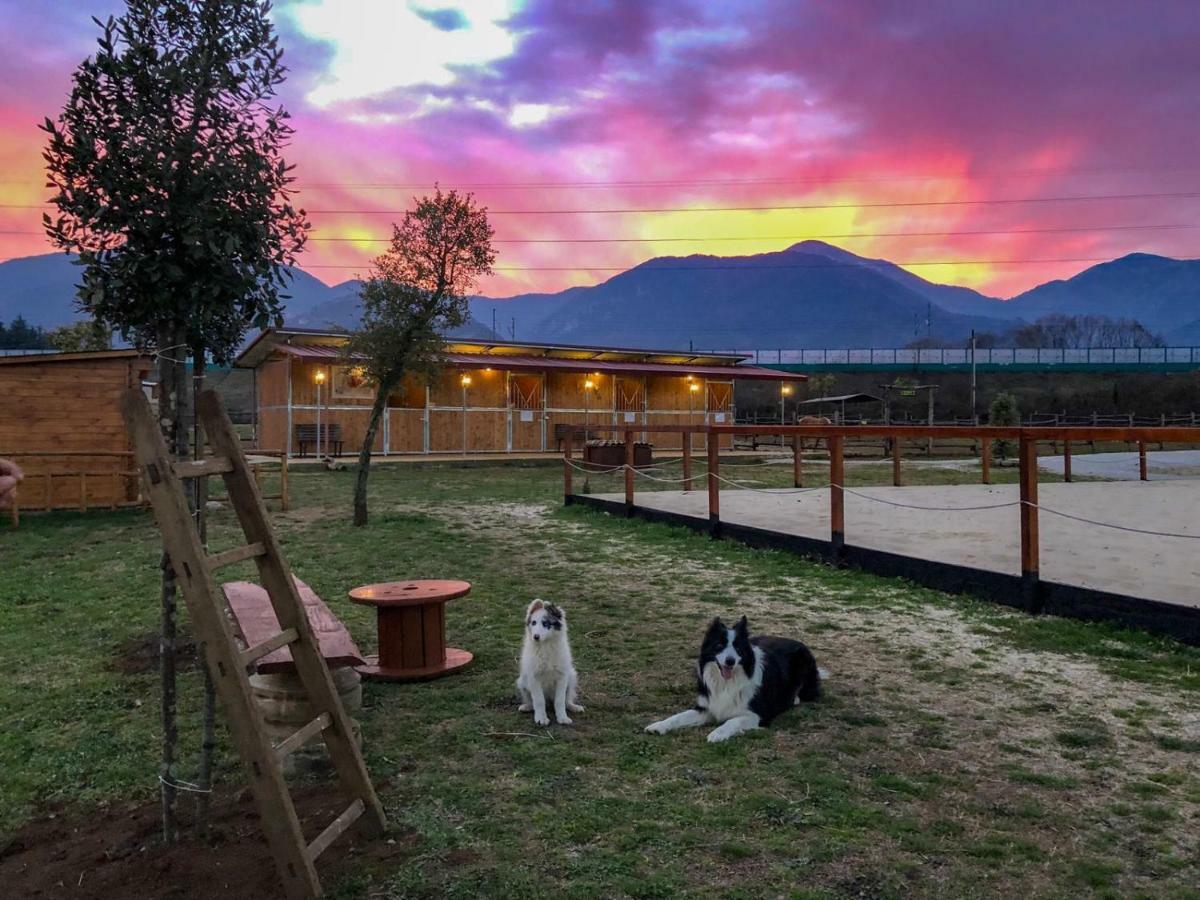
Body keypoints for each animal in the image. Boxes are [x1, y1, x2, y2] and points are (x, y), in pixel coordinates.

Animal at [648, 619, 825, 744]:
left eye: (738, 647)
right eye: (719, 645)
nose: (730, 661)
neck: (726, 683)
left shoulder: (757, 715)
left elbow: (732, 721)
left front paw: (717, 733)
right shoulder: (707, 708)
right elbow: (678, 717)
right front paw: (659, 725)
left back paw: (795, 698)